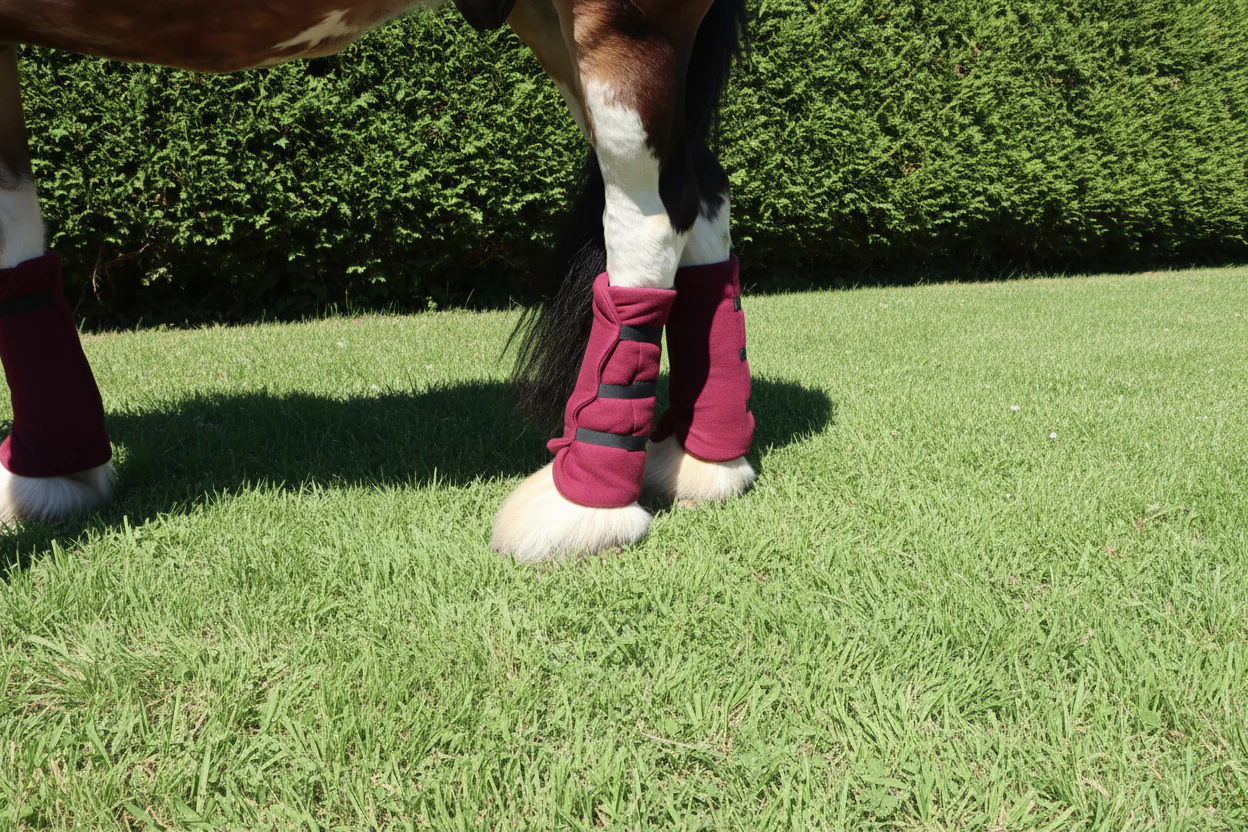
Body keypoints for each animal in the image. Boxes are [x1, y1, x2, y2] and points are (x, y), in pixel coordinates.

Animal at [0, 0, 756, 564]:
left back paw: (584, 502)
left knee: (651, 217)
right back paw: (705, 459)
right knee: (703, 199)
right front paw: (51, 469)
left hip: (628, 24)